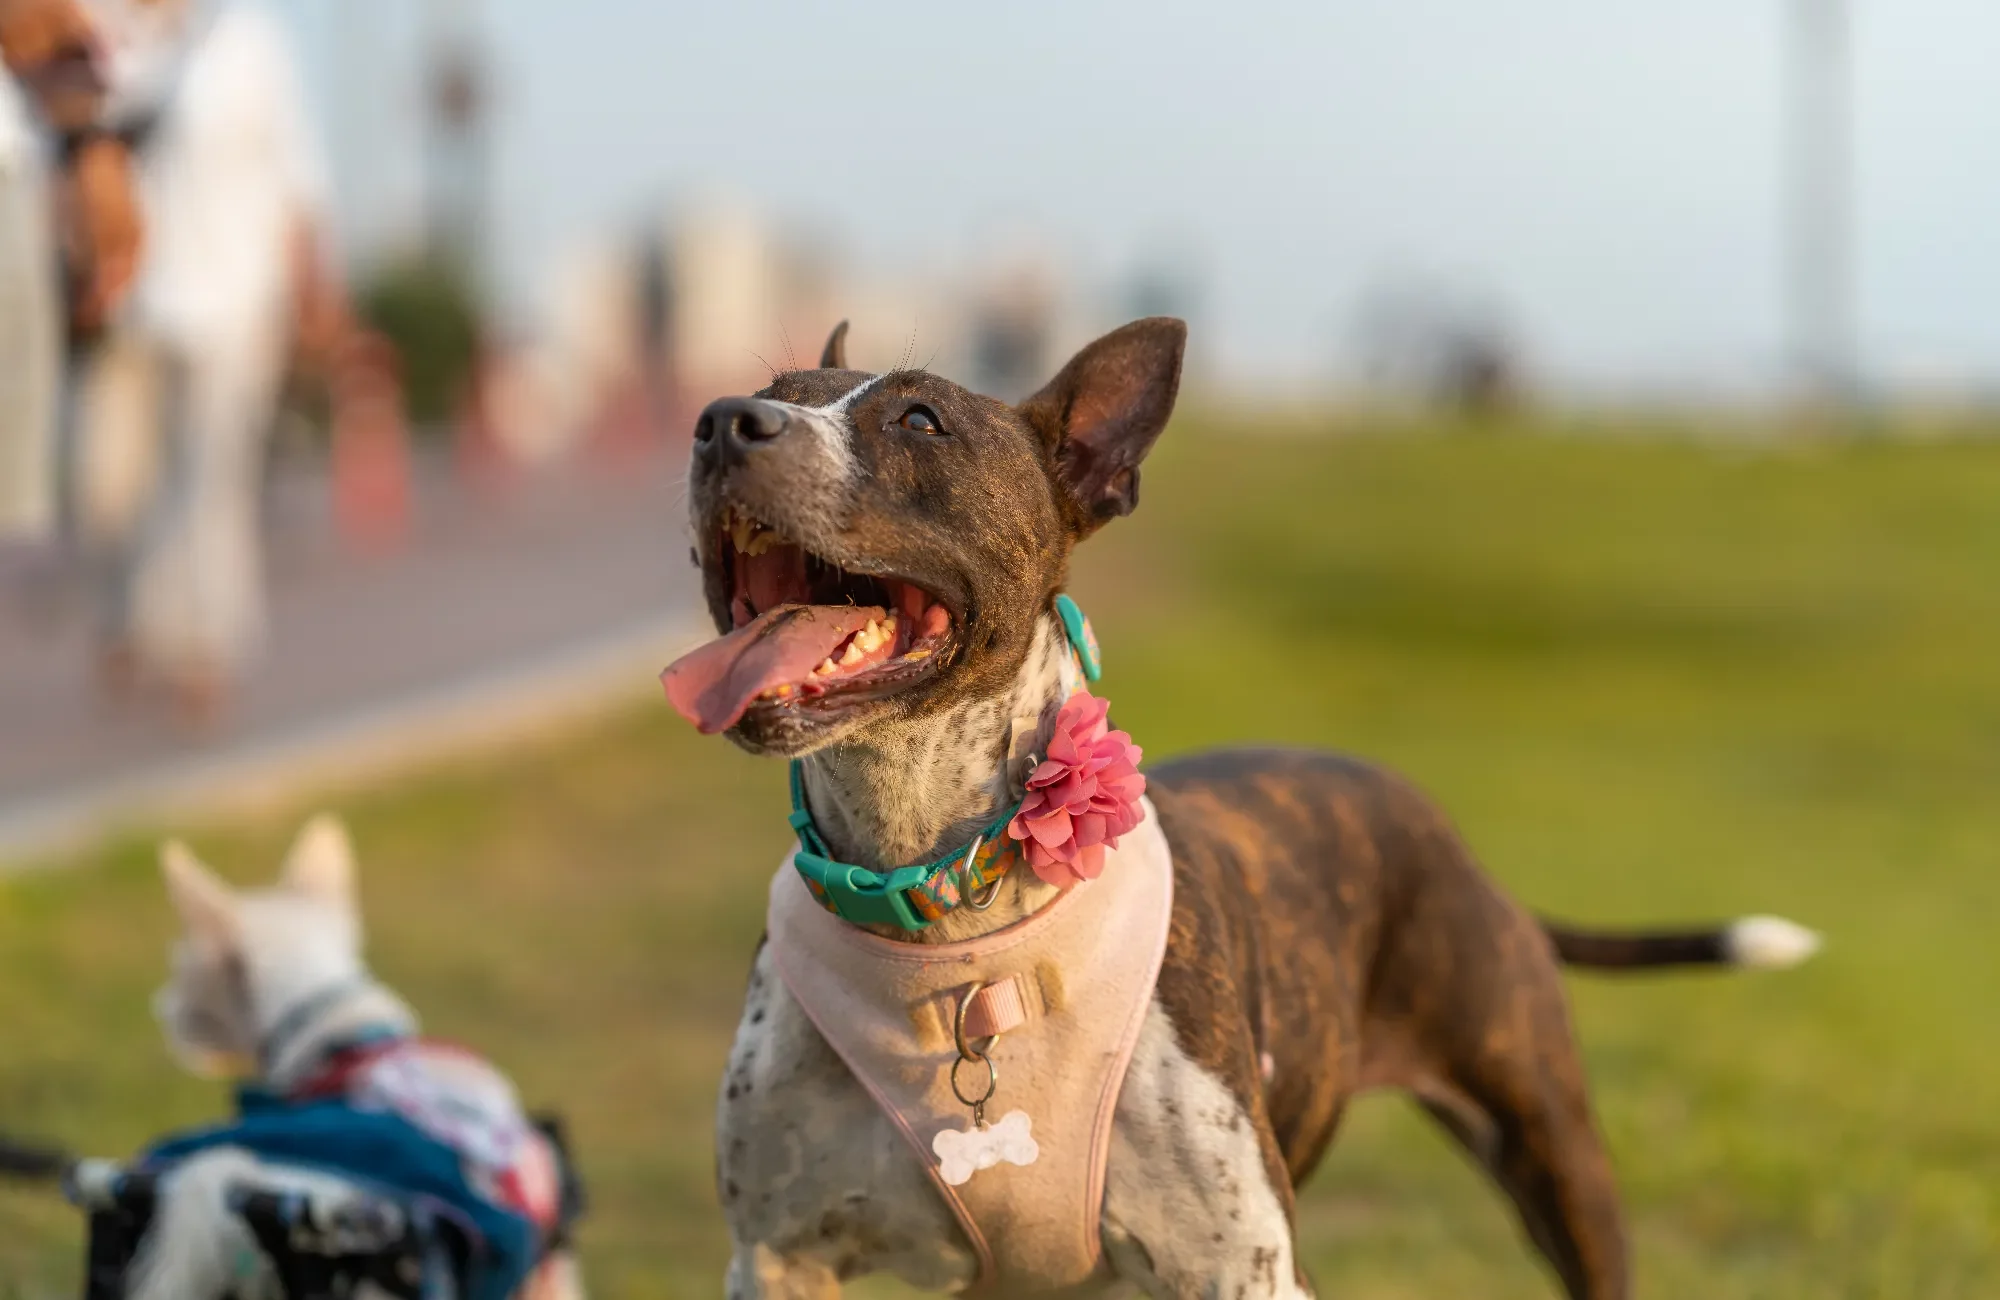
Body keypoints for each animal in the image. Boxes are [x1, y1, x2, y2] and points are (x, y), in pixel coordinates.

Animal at [680, 316, 1824, 1296]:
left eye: (920, 420)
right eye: (775, 392)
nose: (723, 420)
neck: (943, 896)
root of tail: (1455, 843)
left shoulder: (1242, 1266)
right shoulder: (778, 1262)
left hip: (1553, 1151)